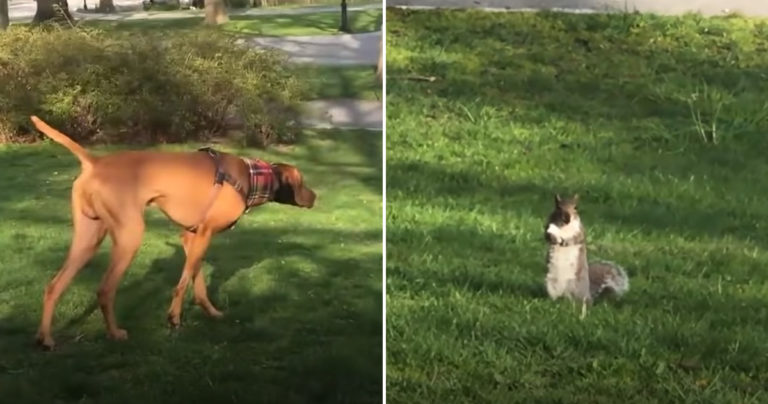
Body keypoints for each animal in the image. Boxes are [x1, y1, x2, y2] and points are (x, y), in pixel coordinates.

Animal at [27, 115, 316, 348]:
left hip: (88, 238)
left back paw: (45, 339)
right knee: (105, 290)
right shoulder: (204, 234)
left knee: (53, 286)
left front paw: (210, 312)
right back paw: (115, 333)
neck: (251, 176)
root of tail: (95, 163)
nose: (315, 197)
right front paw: (174, 318)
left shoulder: (193, 237)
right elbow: (183, 283)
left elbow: (196, 280)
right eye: (302, 181)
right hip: (129, 237)